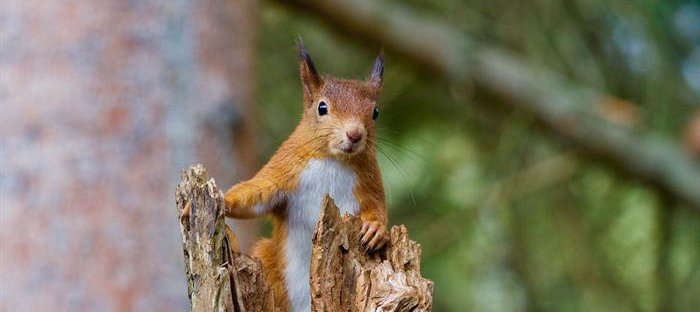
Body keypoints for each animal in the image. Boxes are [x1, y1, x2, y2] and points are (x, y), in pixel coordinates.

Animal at [224, 40, 388, 310]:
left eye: (375, 112)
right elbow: (257, 195)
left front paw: (376, 228)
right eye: (322, 108)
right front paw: (224, 200)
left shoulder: (369, 181)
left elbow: (377, 206)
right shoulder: (285, 169)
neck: (333, 160)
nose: (355, 135)